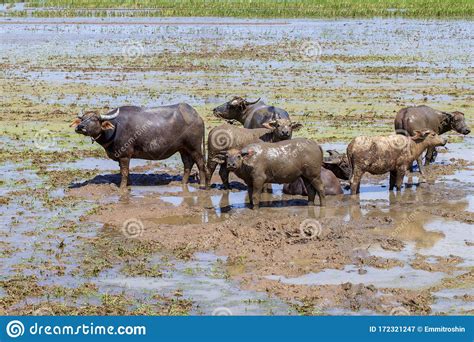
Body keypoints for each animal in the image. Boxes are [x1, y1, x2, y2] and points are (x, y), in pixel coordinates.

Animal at [69, 104, 206, 190]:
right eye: (83, 118)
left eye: (94, 119)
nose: (80, 127)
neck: (115, 128)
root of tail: (197, 116)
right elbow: (124, 171)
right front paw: (128, 184)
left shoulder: (125, 156)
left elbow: (124, 172)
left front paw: (122, 187)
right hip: (183, 149)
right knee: (187, 164)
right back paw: (182, 183)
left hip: (195, 148)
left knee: (200, 163)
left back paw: (202, 185)